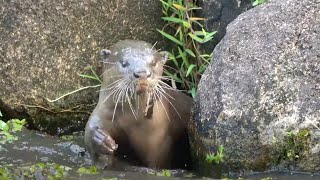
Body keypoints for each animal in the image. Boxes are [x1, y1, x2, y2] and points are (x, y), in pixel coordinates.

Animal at [84, 39, 192, 169]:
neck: (130, 119)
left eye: (153, 62)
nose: (142, 73)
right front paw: (100, 138)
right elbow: (90, 131)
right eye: (124, 63)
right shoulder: (102, 112)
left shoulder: (158, 141)